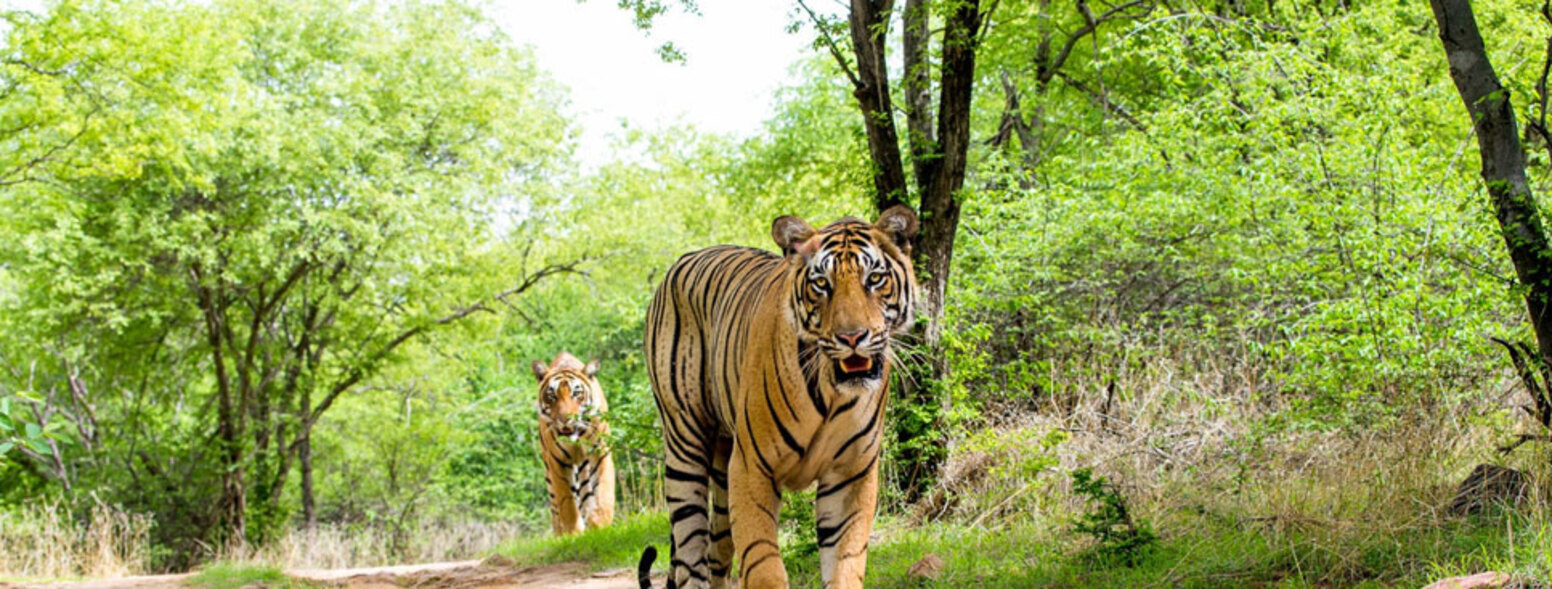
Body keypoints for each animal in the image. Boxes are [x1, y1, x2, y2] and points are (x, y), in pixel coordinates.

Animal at [532, 352, 616, 535]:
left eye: (576, 394)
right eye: (552, 396)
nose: (565, 419)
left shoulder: (600, 452)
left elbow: (604, 490)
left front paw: (601, 523)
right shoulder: (557, 461)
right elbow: (567, 502)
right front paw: (573, 533)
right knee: (556, 509)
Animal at [638, 206, 919, 589]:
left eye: (874, 279)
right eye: (822, 284)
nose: (851, 337)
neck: (832, 393)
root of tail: (686, 257)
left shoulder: (850, 475)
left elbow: (845, 563)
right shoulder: (751, 468)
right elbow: (763, 564)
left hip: (723, 473)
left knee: (716, 556)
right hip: (685, 444)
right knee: (689, 556)